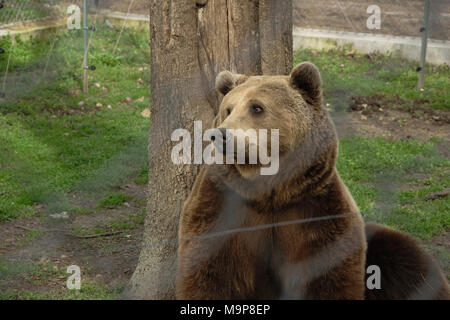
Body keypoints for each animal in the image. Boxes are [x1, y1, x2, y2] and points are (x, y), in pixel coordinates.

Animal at [177, 62, 450, 300]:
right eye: (228, 109)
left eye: (257, 107)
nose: (220, 134)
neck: (269, 190)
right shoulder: (223, 208)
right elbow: (212, 275)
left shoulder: (317, 212)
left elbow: (328, 279)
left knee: (405, 257)